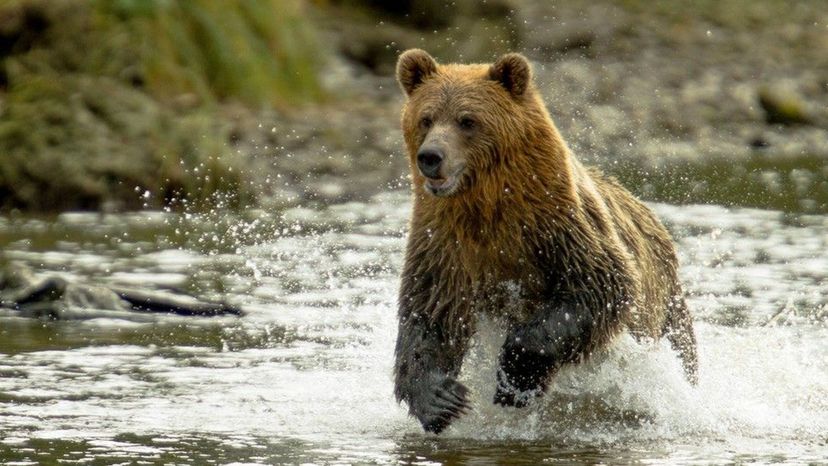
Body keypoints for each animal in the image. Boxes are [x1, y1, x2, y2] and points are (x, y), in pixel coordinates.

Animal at [392, 49, 698, 434]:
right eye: (426, 118)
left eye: (467, 120)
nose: (431, 157)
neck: (488, 208)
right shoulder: (444, 243)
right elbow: (430, 314)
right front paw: (442, 399)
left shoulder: (559, 225)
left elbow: (598, 287)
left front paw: (514, 379)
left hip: (667, 310)